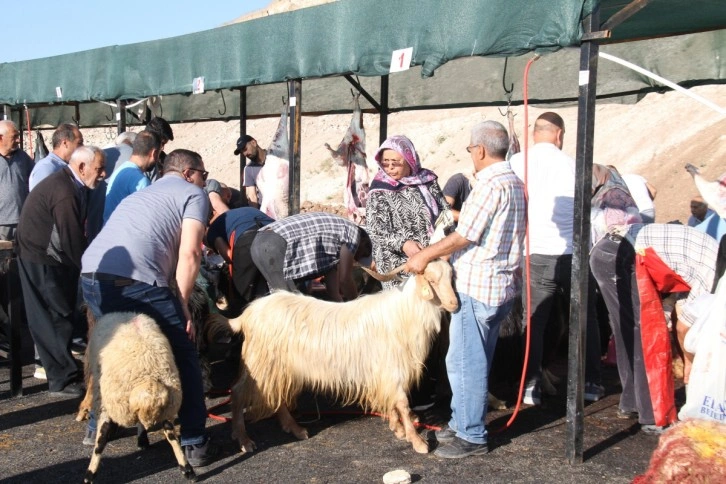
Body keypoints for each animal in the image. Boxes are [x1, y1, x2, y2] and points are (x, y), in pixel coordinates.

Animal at [84, 312, 196, 482]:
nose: (150, 425)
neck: (145, 377)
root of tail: (121, 313)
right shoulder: (106, 405)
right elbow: (101, 442)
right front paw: (90, 474)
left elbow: (171, 436)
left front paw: (187, 469)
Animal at [222, 260, 458, 456]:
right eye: (432, 280)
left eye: (452, 277)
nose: (454, 304)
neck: (405, 313)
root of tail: (246, 315)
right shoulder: (392, 369)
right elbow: (402, 403)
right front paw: (417, 441)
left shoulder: (383, 373)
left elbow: (392, 402)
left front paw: (397, 429)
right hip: (259, 363)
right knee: (238, 391)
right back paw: (244, 439)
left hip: (278, 366)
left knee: (275, 395)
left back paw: (296, 429)